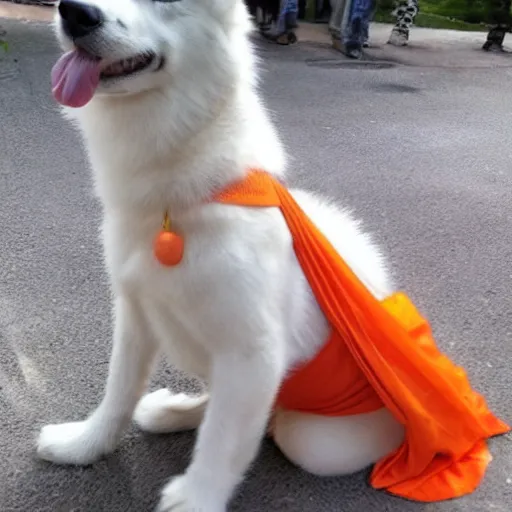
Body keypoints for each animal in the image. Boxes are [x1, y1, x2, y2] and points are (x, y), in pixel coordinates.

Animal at [37, 2, 404, 510]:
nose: (75, 14)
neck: (180, 202)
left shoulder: (252, 353)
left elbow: (223, 438)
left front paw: (196, 497)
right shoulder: (135, 314)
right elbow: (118, 393)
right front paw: (84, 445)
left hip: (319, 440)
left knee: (280, 428)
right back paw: (172, 411)